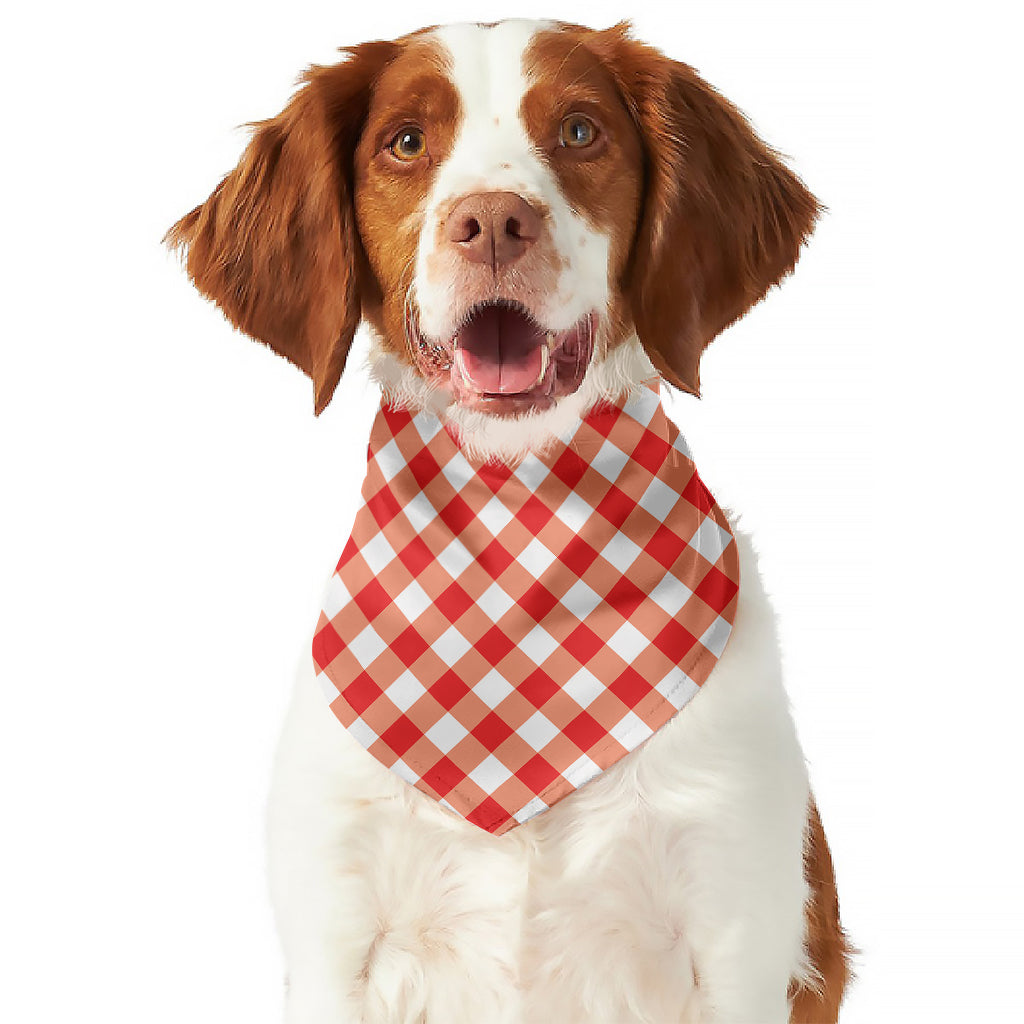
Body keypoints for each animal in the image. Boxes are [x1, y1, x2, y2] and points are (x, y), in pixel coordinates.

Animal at [167, 16, 851, 1024]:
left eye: (579, 131)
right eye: (406, 142)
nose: (492, 221)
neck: (516, 512)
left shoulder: (737, 922)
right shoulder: (336, 929)